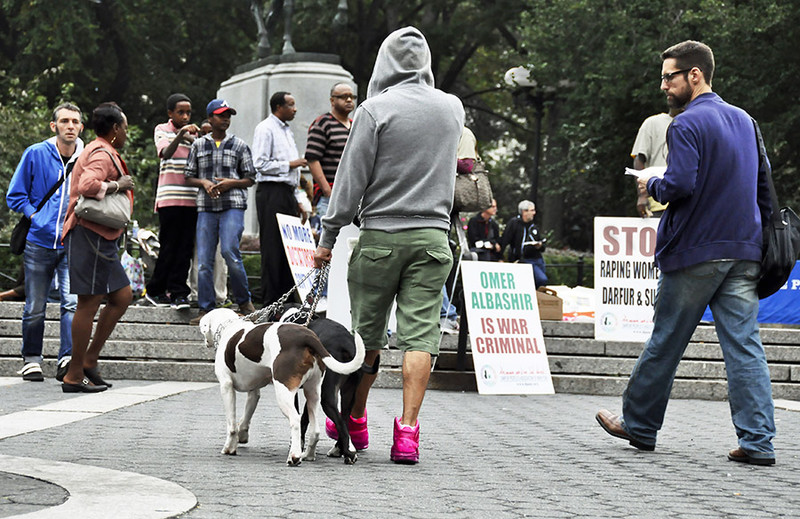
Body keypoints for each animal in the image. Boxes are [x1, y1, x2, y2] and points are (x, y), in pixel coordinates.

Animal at [200, 308, 366, 468]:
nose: (205, 343)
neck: (229, 327)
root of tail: (308, 337)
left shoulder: (226, 387)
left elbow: (232, 424)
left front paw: (229, 448)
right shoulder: (254, 392)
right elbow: (246, 416)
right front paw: (242, 435)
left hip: (285, 393)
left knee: (296, 419)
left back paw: (295, 456)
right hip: (314, 393)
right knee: (319, 428)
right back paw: (314, 454)